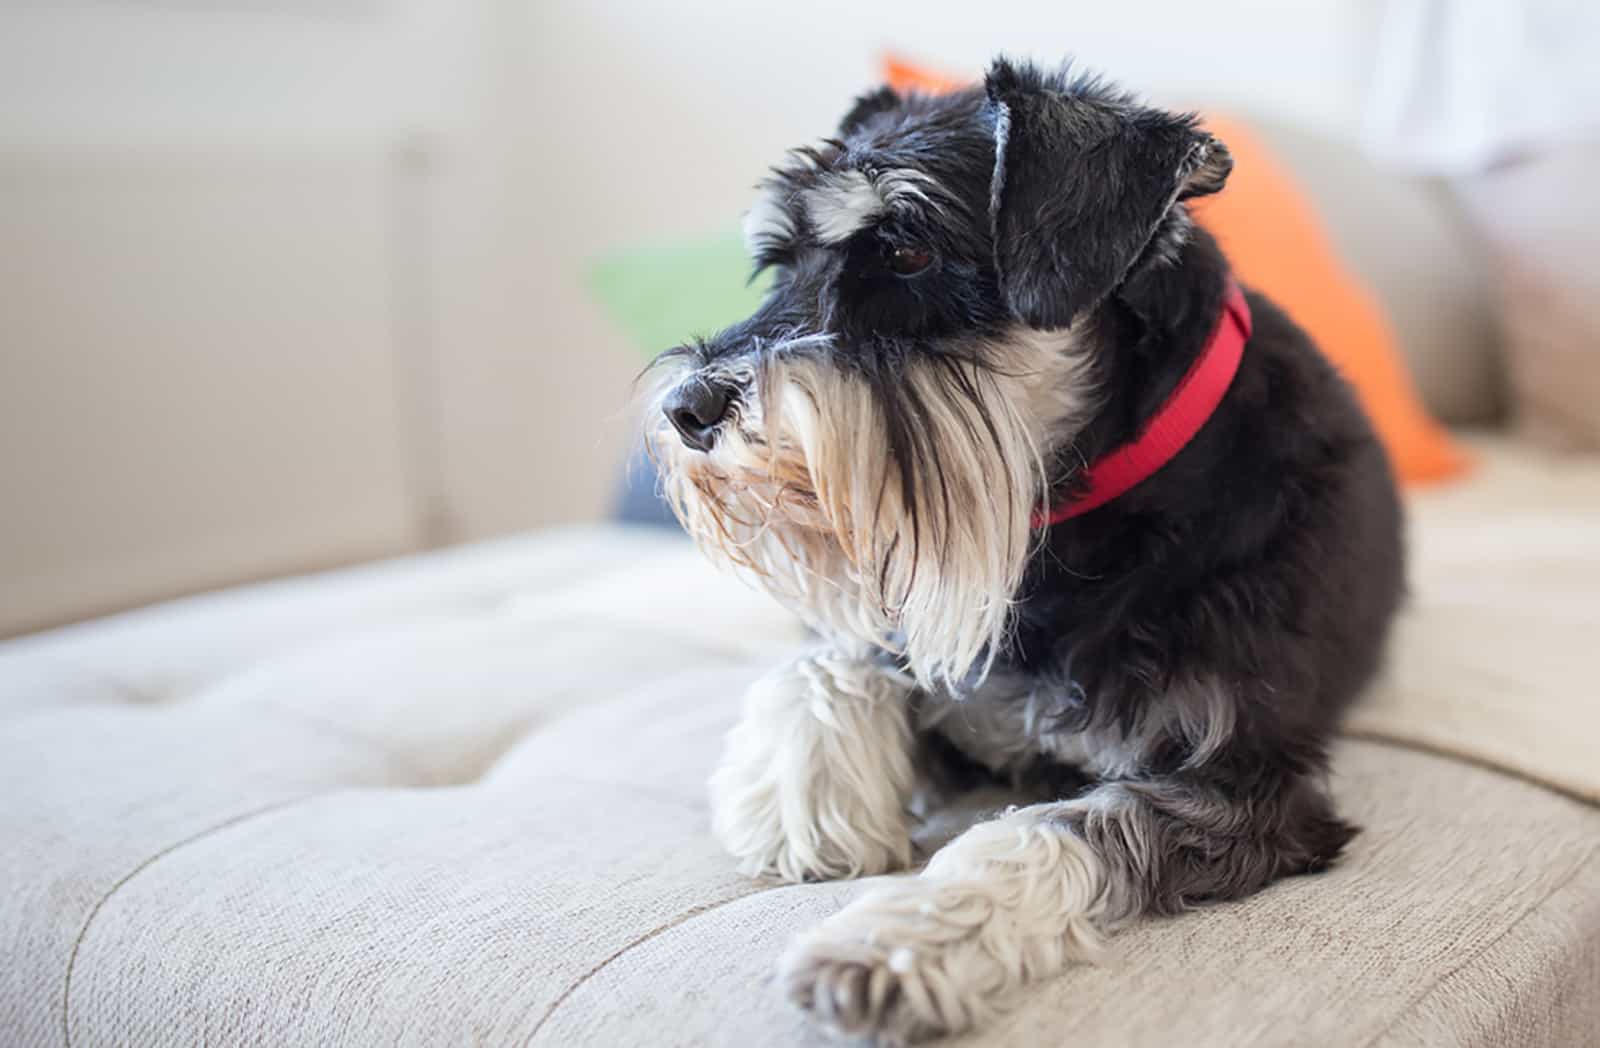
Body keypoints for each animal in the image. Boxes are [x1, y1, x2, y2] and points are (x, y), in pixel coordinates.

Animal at [636, 59, 1401, 1048]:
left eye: (909, 253)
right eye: (779, 262)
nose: (686, 410)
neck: (1070, 532)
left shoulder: (1241, 784)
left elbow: (1055, 828)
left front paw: (894, 943)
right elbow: (832, 658)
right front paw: (804, 807)